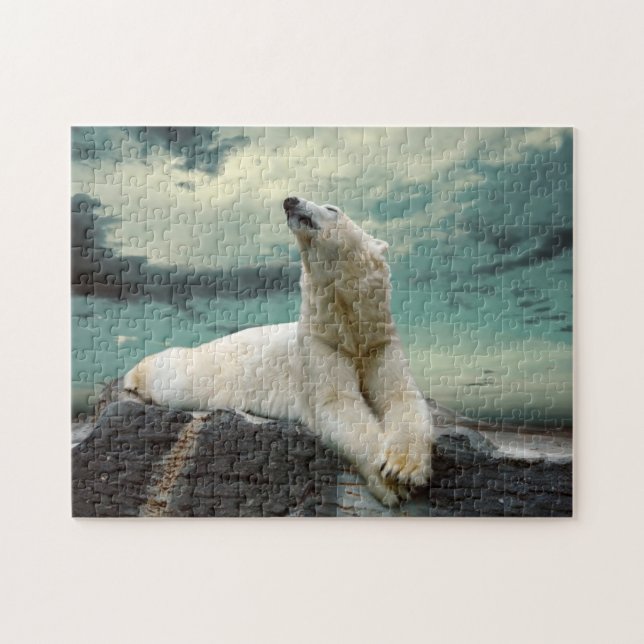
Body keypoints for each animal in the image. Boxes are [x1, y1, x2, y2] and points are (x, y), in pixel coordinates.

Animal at [123, 197, 433, 506]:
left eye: (332, 209)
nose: (291, 201)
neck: (349, 325)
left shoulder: (379, 342)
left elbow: (401, 397)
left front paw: (404, 468)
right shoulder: (319, 344)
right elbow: (338, 403)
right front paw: (389, 482)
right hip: (203, 370)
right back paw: (134, 376)